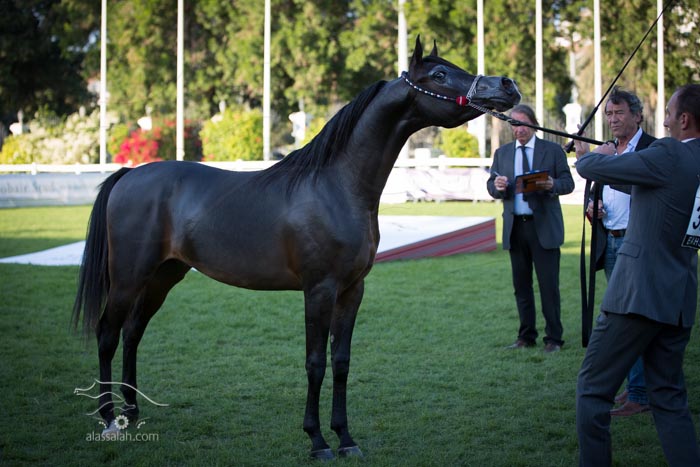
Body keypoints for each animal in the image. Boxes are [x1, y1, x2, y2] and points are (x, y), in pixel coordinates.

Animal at [72, 36, 520, 459]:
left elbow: (341, 362)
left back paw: (132, 412)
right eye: (440, 75)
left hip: (163, 276)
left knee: (133, 332)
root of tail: (129, 175)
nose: (507, 86)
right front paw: (317, 440)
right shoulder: (318, 290)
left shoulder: (352, 290)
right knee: (108, 333)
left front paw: (346, 438)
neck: (337, 187)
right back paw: (109, 419)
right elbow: (315, 363)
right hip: (128, 277)